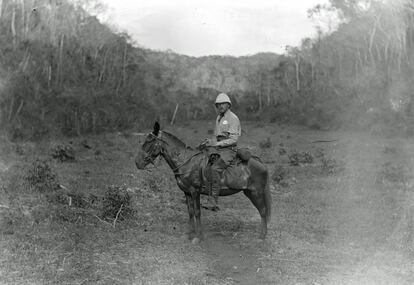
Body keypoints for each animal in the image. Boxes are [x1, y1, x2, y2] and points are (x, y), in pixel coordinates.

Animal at [135, 121, 272, 243]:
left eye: (149, 141)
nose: (137, 163)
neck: (186, 162)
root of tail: (259, 162)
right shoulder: (187, 192)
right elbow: (190, 212)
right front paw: (188, 234)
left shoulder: (195, 191)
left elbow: (197, 212)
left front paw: (198, 237)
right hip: (249, 193)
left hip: (256, 193)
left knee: (263, 211)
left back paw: (261, 237)